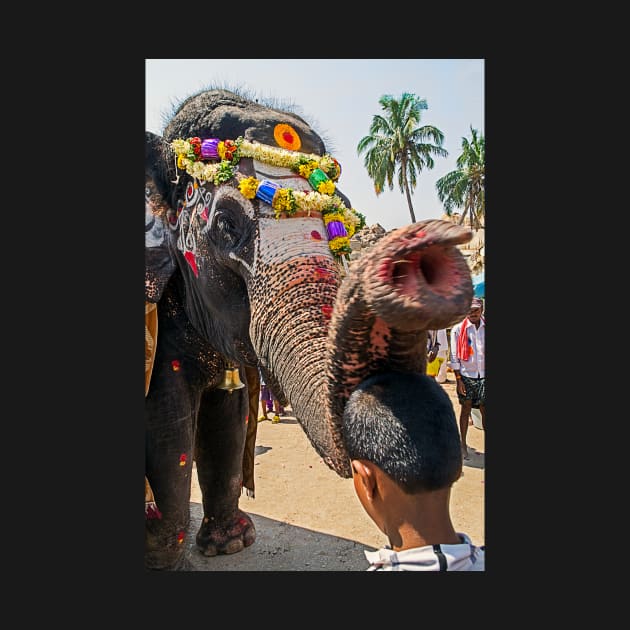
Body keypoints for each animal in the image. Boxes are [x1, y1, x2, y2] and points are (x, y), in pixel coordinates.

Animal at [147, 90, 474, 572]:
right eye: (225, 224)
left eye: (339, 216)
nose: (424, 252)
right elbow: (168, 436)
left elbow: (229, 417)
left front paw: (231, 545)